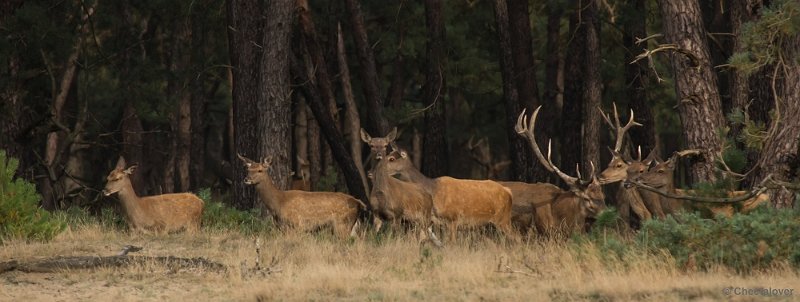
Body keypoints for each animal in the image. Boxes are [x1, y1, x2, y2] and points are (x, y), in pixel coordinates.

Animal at [236, 156, 364, 238]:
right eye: (248, 169)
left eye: (260, 170)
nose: (246, 179)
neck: (279, 202)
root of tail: (358, 202)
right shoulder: (282, 227)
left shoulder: (296, 224)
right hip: (352, 227)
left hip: (342, 225)